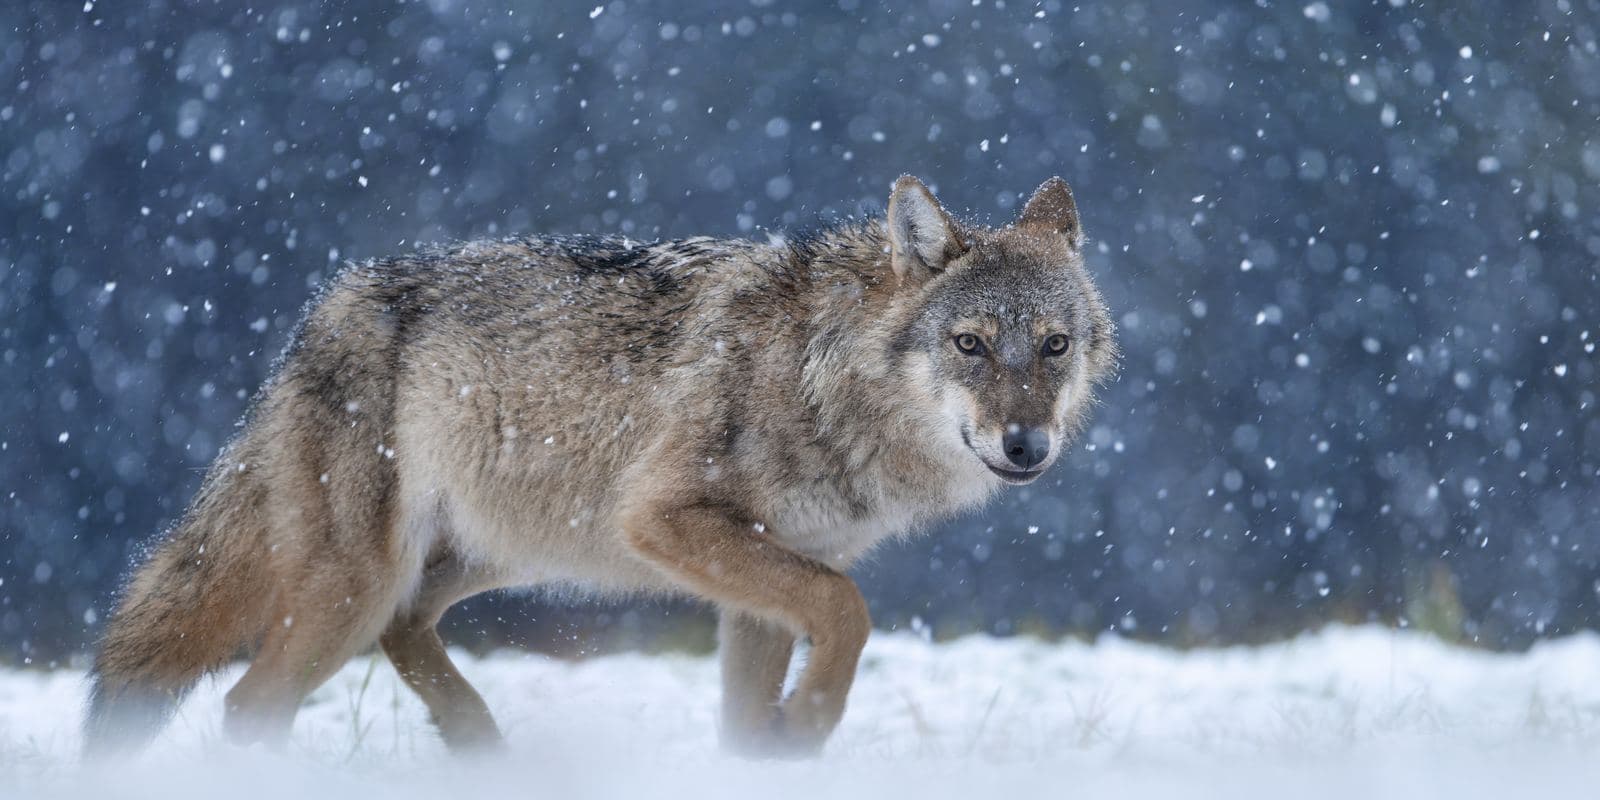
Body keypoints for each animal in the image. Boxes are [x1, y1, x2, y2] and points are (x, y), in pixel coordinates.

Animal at [84, 175, 1116, 758]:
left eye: (1054, 345)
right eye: (971, 345)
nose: (1026, 445)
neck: (820, 375)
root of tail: (321, 312)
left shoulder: (761, 584)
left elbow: (757, 712)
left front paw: (782, 744)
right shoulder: (664, 520)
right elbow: (849, 611)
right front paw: (811, 723)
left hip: (482, 560)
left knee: (404, 632)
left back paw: (483, 748)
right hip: (361, 585)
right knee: (250, 705)